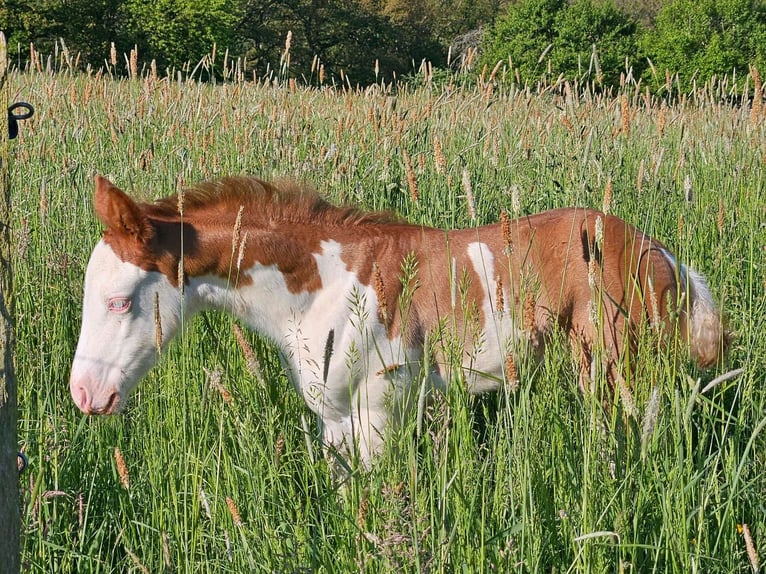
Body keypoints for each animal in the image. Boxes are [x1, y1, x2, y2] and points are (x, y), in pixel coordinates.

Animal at [70, 177, 728, 468]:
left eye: (120, 302)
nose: (86, 395)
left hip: (626, 369)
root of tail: (661, 254)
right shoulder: (336, 419)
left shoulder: (379, 411)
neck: (328, 287)